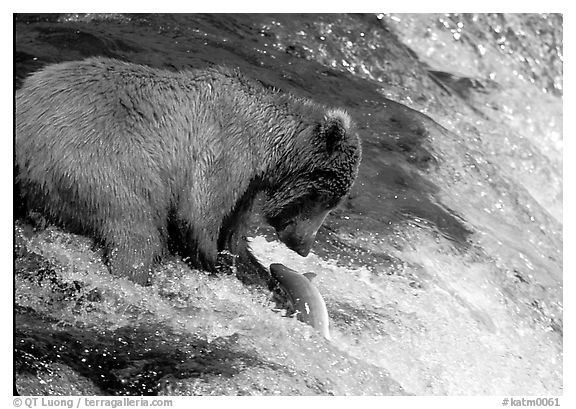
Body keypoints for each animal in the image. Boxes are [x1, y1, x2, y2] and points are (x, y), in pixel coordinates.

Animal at [14, 57, 360, 284]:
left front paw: (264, 278)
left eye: (334, 201)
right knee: (135, 230)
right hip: (90, 161)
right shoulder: (227, 149)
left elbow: (234, 237)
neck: (267, 144)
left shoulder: (248, 185)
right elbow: (198, 216)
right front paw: (216, 265)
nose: (304, 246)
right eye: (325, 197)